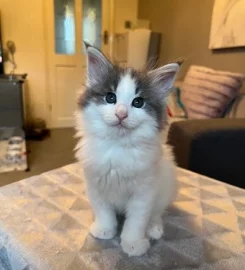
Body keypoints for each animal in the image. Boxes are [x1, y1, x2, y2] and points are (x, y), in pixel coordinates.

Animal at [75, 43, 180, 256]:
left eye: (138, 102)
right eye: (110, 98)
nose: (121, 114)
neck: (117, 148)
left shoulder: (144, 192)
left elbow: (136, 222)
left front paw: (133, 244)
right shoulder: (96, 186)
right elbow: (104, 212)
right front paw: (104, 229)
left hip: (166, 186)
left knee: (157, 213)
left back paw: (154, 228)